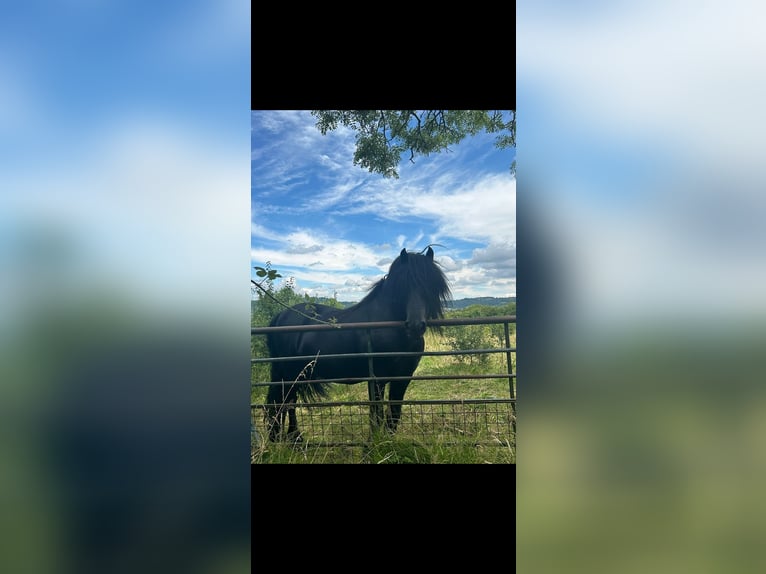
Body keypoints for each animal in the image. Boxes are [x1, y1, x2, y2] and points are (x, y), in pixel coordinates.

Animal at [264, 246, 451, 442]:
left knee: (288, 402)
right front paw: (374, 442)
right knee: (283, 402)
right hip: (289, 373)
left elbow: (394, 413)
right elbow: (376, 412)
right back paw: (284, 438)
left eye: (430, 285)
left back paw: (293, 439)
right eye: (402, 285)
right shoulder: (377, 378)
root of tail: (280, 316)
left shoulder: (403, 377)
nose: (415, 326)